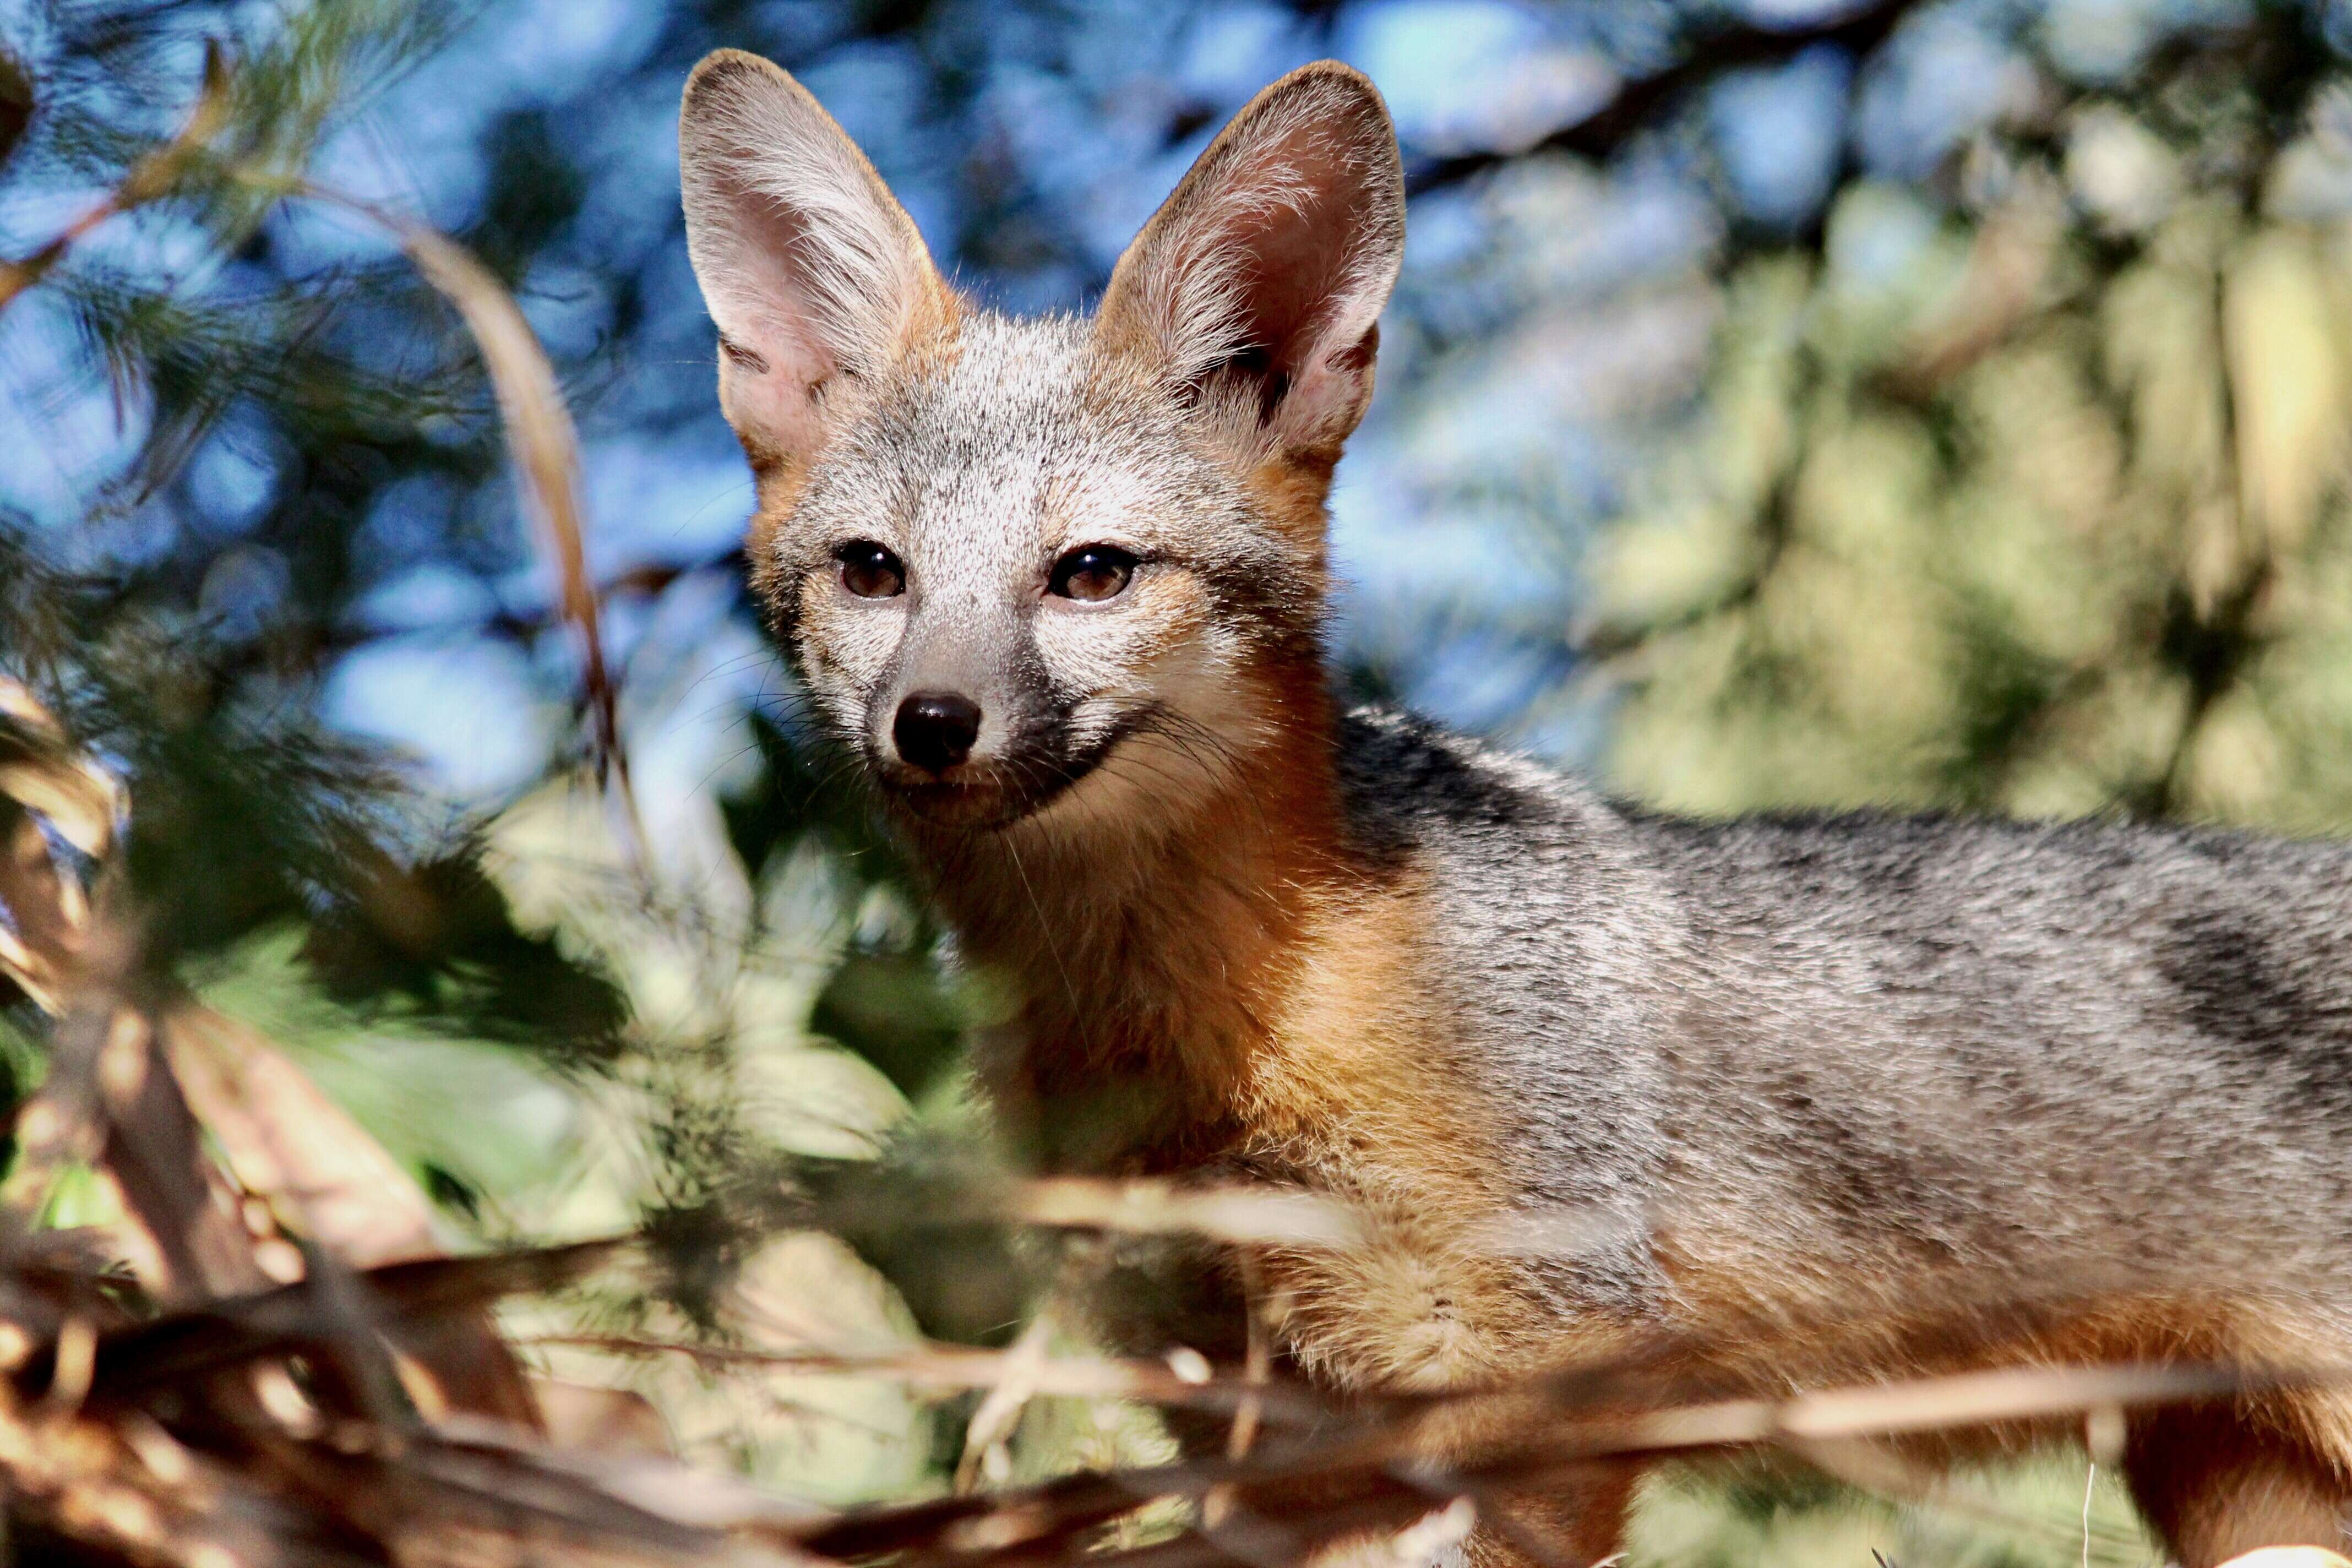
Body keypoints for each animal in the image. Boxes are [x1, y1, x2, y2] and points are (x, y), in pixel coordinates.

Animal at [682, 49, 2352, 1568]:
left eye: (1090, 573)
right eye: (873, 573)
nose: (932, 725)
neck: (1213, 1013)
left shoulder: (1534, 1374)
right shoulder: (1251, 1423)